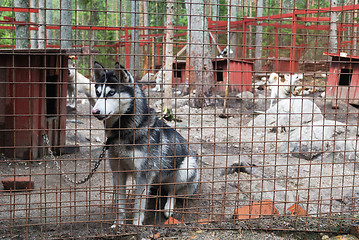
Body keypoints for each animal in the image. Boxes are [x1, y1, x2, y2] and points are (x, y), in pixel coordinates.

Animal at [91, 62, 200, 227]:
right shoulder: (118, 172)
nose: (94, 111)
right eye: (98, 93)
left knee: (173, 191)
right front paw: (118, 224)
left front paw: (136, 224)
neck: (122, 133)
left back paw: (168, 208)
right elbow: (120, 204)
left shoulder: (143, 174)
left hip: (185, 169)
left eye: (111, 93)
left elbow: (139, 204)